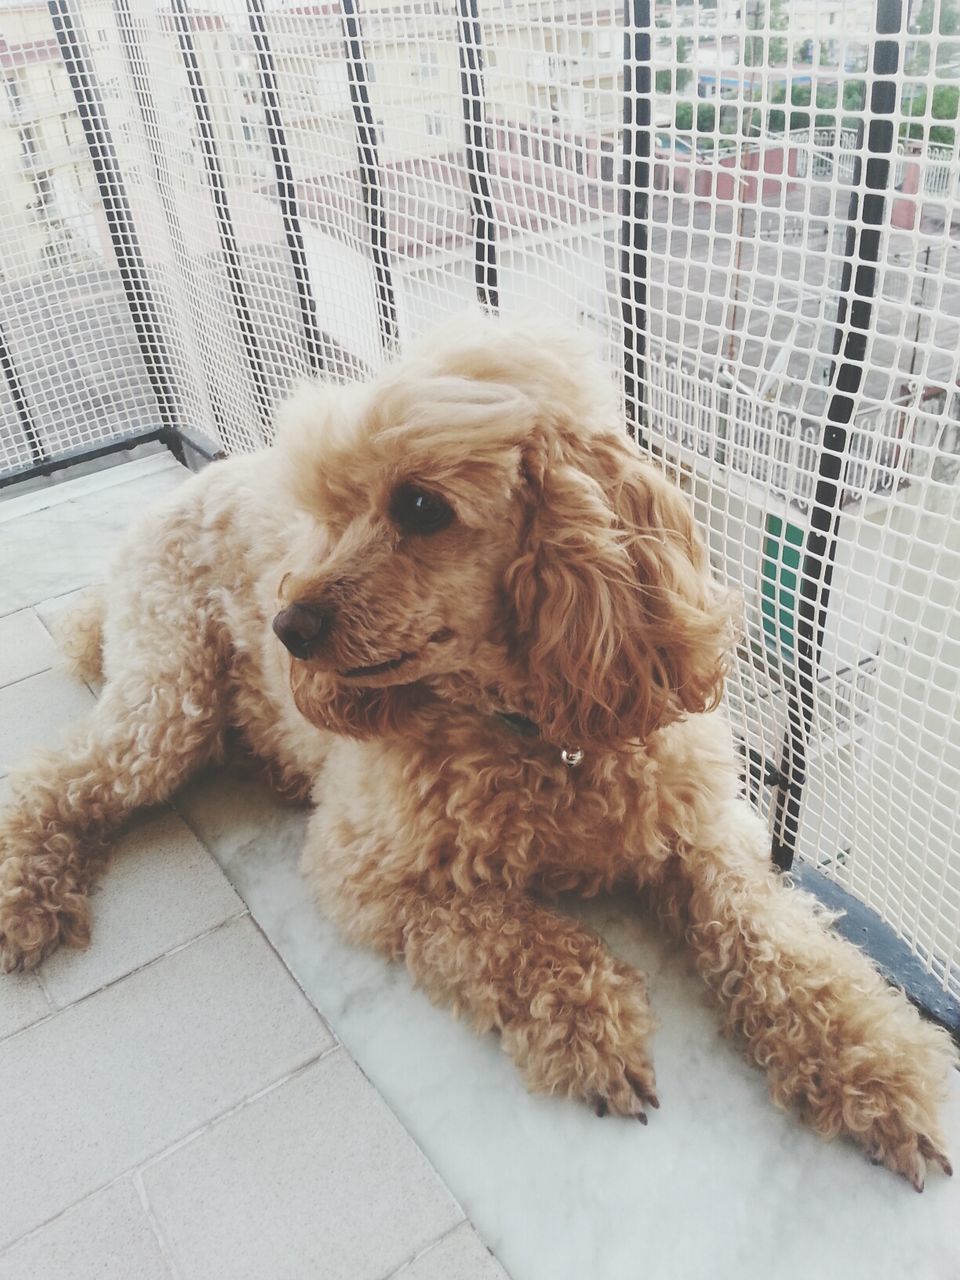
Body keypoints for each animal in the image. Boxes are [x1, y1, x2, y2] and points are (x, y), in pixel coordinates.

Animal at [0, 312, 957, 1187]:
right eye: (332, 513)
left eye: (421, 507)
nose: (289, 626)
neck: (541, 733)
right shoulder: (367, 869)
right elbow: (511, 936)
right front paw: (591, 1026)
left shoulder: (699, 828)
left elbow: (775, 939)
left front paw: (873, 1065)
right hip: (166, 700)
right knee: (59, 777)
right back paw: (24, 895)